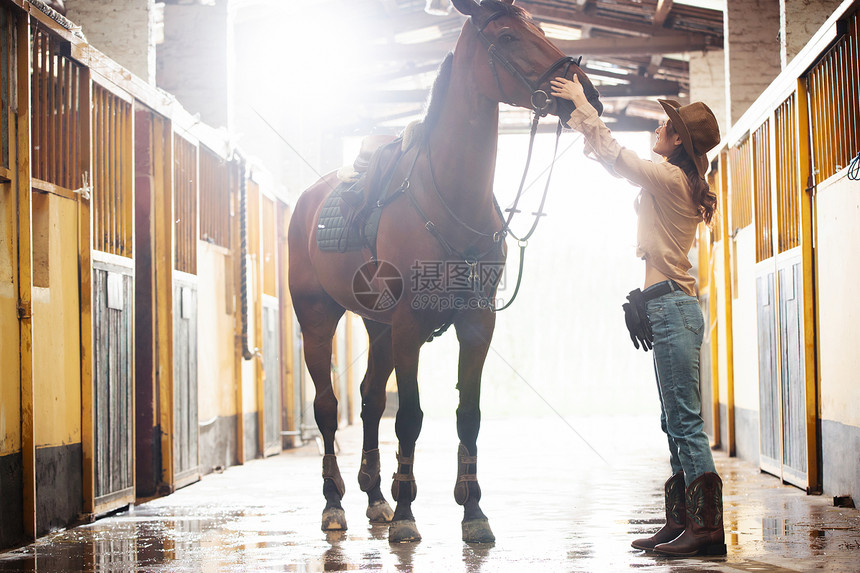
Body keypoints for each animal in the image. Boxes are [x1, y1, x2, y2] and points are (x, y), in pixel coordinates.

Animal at [288, 0, 596, 540]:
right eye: (508, 37)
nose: (588, 92)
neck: (453, 194)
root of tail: (309, 200)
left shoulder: (476, 321)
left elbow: (467, 415)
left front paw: (473, 511)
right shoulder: (411, 323)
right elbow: (409, 416)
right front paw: (408, 514)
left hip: (378, 327)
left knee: (370, 399)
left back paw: (375, 497)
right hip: (319, 318)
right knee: (328, 407)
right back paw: (335, 504)